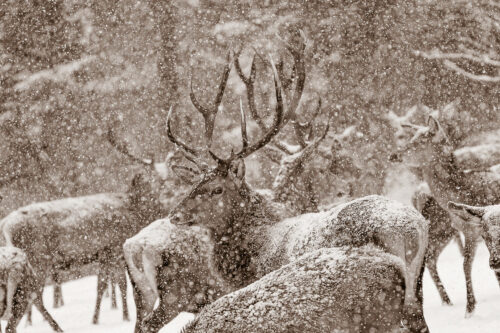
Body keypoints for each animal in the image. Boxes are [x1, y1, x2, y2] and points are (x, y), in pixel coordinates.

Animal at [126, 35, 430, 332]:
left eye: (216, 189)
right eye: (193, 185)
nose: (175, 215)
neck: (255, 246)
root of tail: (413, 229)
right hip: (417, 289)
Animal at [390, 107, 500, 316]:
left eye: (419, 141)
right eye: (411, 138)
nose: (393, 156)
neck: (466, 191)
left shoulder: (474, 231)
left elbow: (467, 264)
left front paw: (470, 308)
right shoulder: (471, 229)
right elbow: (467, 264)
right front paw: (470, 308)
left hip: (441, 229)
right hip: (441, 229)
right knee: (430, 257)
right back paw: (446, 301)